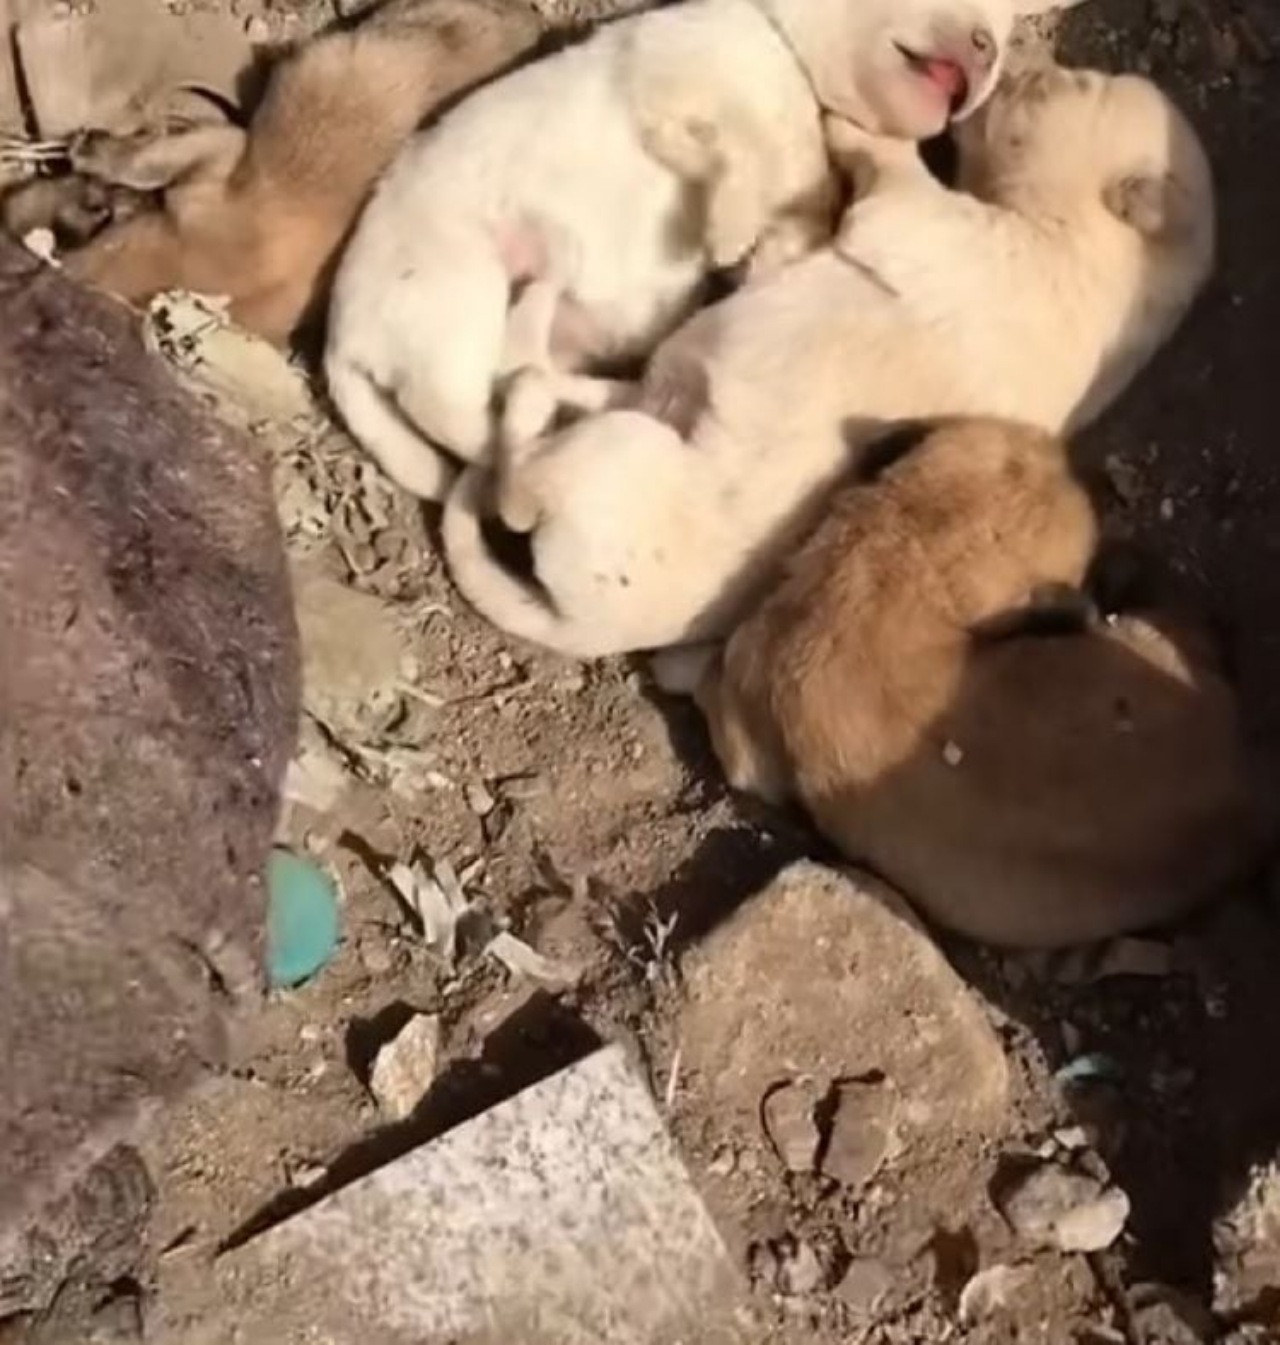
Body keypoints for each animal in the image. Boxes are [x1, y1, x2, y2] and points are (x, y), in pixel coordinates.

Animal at [328, 0, 1070, 500]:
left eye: (1008, 33)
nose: (986, 54)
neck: (789, 56)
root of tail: (342, 342)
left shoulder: (797, 190)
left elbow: (785, 214)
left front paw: (753, 250)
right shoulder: (678, 77)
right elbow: (736, 148)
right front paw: (728, 226)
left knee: (502, 372)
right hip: (460, 285)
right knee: (455, 407)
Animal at [441, 63, 1210, 661]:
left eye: (1063, 85)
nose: (1010, 70)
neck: (1102, 253)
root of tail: (591, 629)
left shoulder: (917, 216)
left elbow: (888, 165)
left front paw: (853, 126)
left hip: (621, 452)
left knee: (514, 484)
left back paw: (532, 359)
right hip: (639, 407)